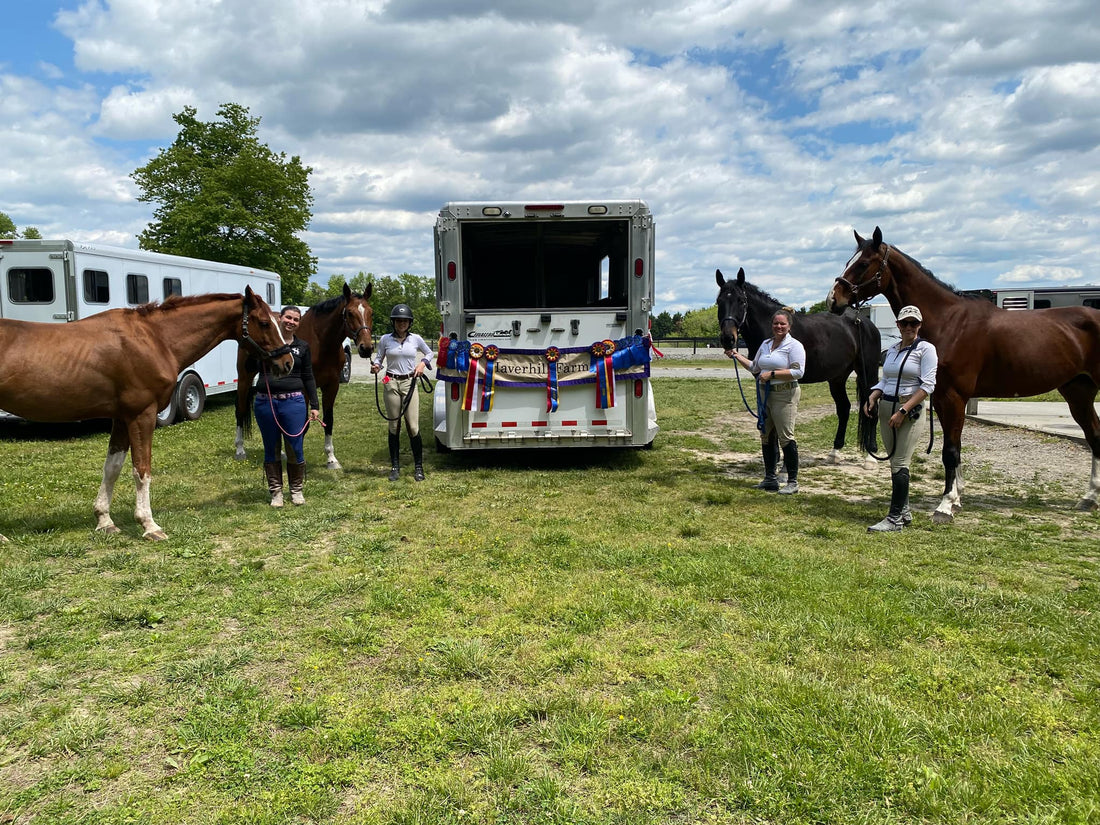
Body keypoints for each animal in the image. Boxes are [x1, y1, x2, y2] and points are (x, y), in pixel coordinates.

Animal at [0, 290, 292, 543]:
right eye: (264, 322)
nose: (286, 362)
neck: (155, 339)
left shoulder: (121, 418)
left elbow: (112, 467)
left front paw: (104, 520)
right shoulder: (142, 415)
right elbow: (142, 470)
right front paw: (149, 525)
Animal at [233, 281, 374, 468]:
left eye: (371, 312)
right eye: (350, 313)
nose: (367, 348)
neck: (321, 344)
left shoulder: (332, 385)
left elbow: (328, 420)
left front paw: (331, 458)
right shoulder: (306, 388)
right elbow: (303, 425)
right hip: (244, 377)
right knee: (240, 409)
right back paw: (240, 449)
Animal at [717, 269, 880, 466]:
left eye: (741, 301)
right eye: (719, 301)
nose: (728, 339)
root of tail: (864, 322)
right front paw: (774, 458)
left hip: (868, 373)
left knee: (872, 408)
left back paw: (871, 456)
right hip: (837, 378)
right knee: (844, 409)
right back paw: (835, 452)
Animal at [827, 227, 1100, 523]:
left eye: (863, 264)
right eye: (849, 262)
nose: (833, 299)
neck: (949, 321)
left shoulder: (954, 397)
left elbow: (950, 450)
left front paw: (945, 505)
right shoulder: (941, 398)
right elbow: (953, 447)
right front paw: (956, 497)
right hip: (1077, 392)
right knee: (1094, 436)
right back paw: (1089, 498)